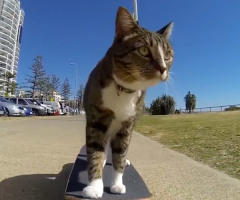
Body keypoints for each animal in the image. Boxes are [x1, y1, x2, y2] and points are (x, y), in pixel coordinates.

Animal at [83, 6, 174, 198]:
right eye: (144, 50)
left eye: (168, 55)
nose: (163, 68)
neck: (124, 89)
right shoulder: (96, 119)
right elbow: (95, 150)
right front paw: (94, 185)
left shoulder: (127, 126)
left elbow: (120, 154)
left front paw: (117, 183)